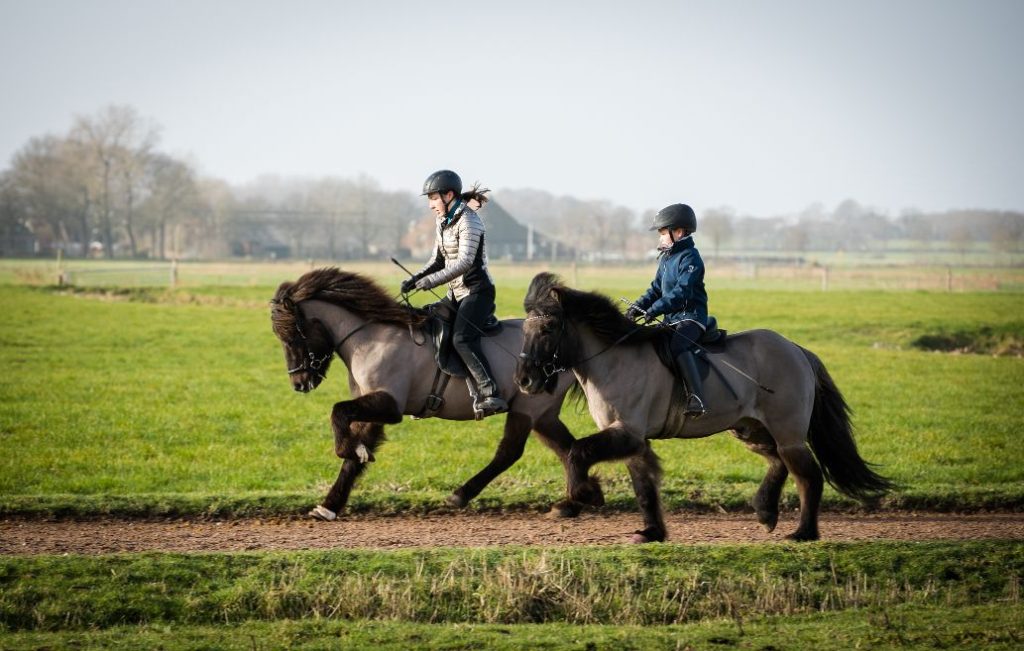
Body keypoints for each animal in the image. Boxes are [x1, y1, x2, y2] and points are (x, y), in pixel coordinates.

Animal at [272, 266, 602, 522]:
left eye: (292, 335)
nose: (299, 383)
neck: (372, 338)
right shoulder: (375, 406)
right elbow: (355, 456)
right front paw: (329, 505)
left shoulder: (389, 404)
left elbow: (338, 412)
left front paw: (346, 449)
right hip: (542, 413)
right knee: (566, 447)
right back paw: (581, 497)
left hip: (528, 406)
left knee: (510, 451)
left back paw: (461, 495)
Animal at [516, 272, 892, 540]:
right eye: (525, 328)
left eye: (548, 327)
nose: (524, 380)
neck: (615, 359)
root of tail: (797, 350)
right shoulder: (631, 438)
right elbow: (643, 483)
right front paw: (651, 532)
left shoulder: (627, 432)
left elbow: (578, 451)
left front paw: (584, 494)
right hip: (750, 429)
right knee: (778, 463)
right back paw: (765, 512)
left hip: (789, 433)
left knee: (807, 474)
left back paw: (803, 533)